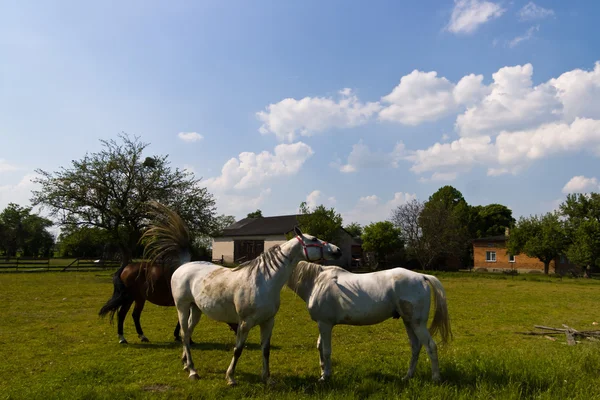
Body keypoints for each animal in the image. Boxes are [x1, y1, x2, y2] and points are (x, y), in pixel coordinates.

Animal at [99, 262, 238, 344]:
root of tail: (127, 266)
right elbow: (184, 320)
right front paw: (185, 337)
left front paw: (179, 336)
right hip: (130, 298)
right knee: (122, 315)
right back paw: (122, 338)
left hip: (138, 298)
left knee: (134, 315)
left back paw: (141, 336)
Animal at [138, 203, 340, 384]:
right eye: (314, 239)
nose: (337, 250)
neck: (264, 280)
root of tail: (183, 266)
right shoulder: (244, 323)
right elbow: (238, 349)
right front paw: (231, 377)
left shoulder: (268, 322)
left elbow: (265, 349)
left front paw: (267, 379)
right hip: (182, 307)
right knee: (184, 334)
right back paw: (193, 371)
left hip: (196, 310)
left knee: (187, 333)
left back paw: (187, 364)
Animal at [286, 262, 450, 382]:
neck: (316, 281)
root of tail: (422, 276)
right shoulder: (322, 324)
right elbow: (320, 346)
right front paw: (322, 373)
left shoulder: (325, 324)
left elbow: (326, 350)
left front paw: (325, 376)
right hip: (408, 322)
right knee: (416, 346)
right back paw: (407, 376)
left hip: (417, 324)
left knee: (430, 346)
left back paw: (436, 378)